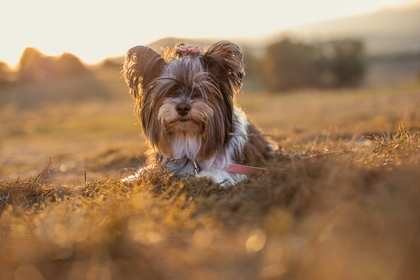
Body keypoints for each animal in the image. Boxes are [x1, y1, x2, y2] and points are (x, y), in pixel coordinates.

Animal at [121, 41, 274, 186]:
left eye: (198, 90)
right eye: (169, 91)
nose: (182, 108)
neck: (188, 135)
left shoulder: (237, 164)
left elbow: (225, 170)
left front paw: (208, 176)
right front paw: (135, 177)